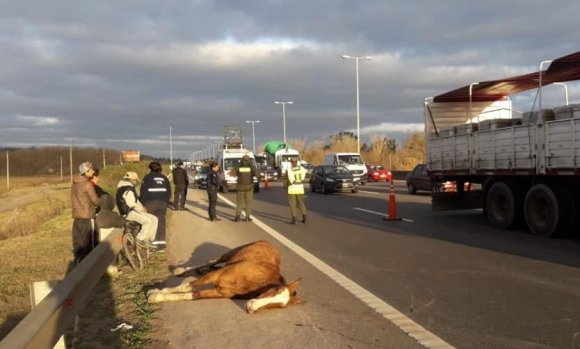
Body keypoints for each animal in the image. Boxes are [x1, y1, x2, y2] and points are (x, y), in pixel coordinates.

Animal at [147, 239, 304, 312]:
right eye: (275, 290)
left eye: (279, 306)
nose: (251, 307)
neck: (252, 281)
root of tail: (269, 244)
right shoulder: (216, 275)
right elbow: (186, 286)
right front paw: (155, 293)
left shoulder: (220, 292)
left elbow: (193, 295)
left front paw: (158, 296)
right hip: (228, 254)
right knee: (210, 262)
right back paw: (181, 270)